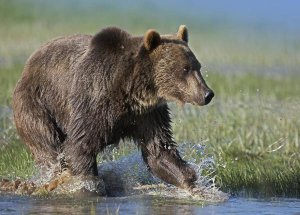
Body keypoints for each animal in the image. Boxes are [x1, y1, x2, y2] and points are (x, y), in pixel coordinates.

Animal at [12, 25, 213, 195]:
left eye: (198, 66)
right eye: (185, 69)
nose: (207, 94)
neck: (132, 91)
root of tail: (27, 66)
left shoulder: (147, 115)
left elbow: (160, 151)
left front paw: (195, 184)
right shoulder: (95, 99)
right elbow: (79, 146)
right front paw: (89, 186)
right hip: (37, 104)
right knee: (48, 146)